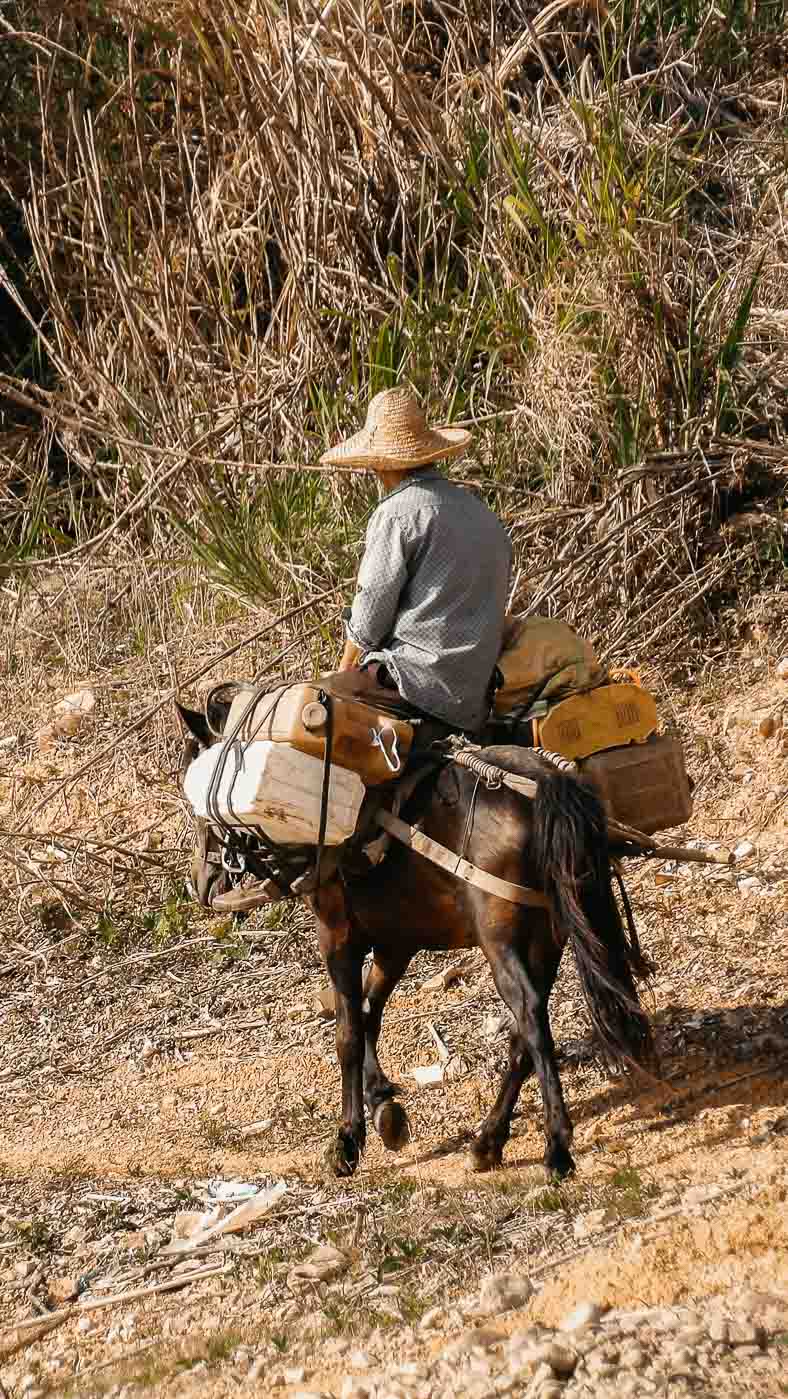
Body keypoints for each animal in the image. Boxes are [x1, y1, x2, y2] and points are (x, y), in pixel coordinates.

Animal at [177, 693, 655, 1175]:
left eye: (197, 808)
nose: (200, 882)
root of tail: (545, 782)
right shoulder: (396, 944)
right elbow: (369, 1012)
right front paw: (382, 1105)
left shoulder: (337, 935)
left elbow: (348, 1031)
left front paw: (348, 1139)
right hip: (548, 938)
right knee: (523, 1032)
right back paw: (489, 1139)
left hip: (501, 940)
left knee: (531, 1017)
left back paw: (556, 1145)